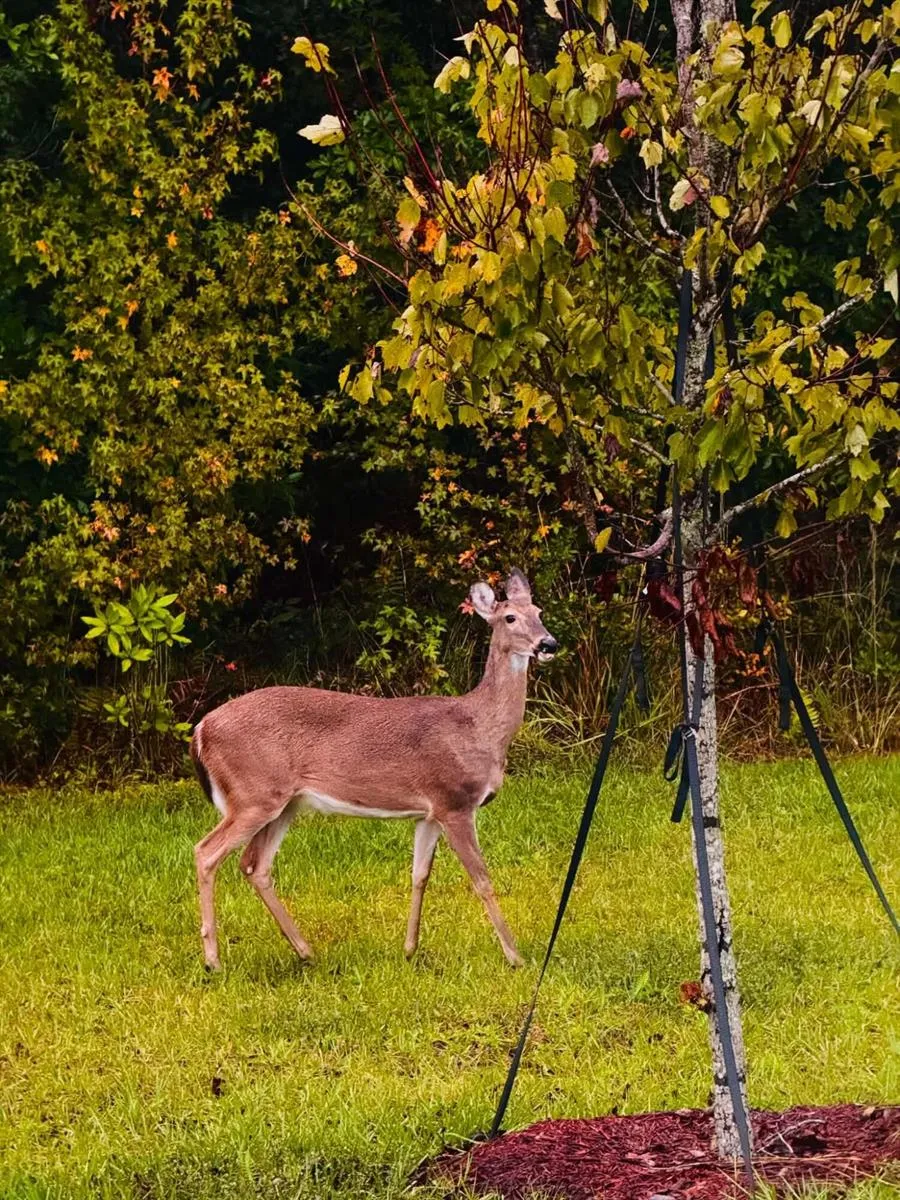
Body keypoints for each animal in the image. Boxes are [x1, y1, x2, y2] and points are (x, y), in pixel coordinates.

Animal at [190, 568, 557, 970]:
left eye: (540, 611)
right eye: (510, 618)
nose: (548, 643)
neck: (480, 727)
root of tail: (201, 730)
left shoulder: (430, 812)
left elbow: (419, 875)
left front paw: (410, 950)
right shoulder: (455, 801)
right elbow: (483, 880)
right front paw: (516, 956)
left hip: (284, 803)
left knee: (255, 865)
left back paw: (305, 951)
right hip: (253, 795)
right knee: (206, 853)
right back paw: (213, 960)